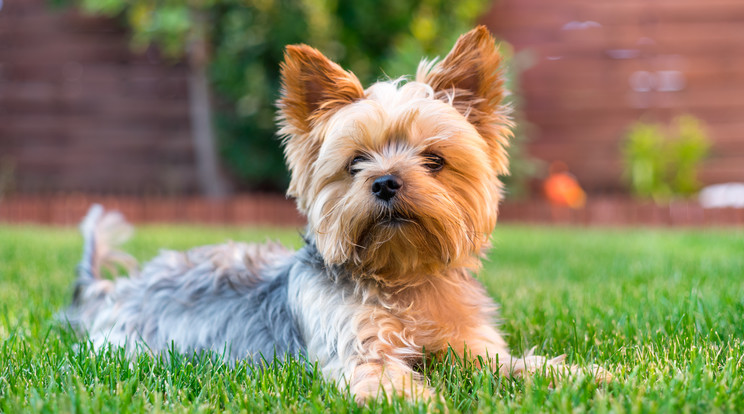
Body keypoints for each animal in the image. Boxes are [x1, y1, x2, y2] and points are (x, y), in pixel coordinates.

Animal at [64, 25, 608, 402]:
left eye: (434, 160)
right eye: (355, 162)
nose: (385, 181)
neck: (403, 279)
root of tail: (113, 290)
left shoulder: (470, 346)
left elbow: (515, 365)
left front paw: (582, 375)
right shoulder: (360, 351)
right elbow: (388, 381)